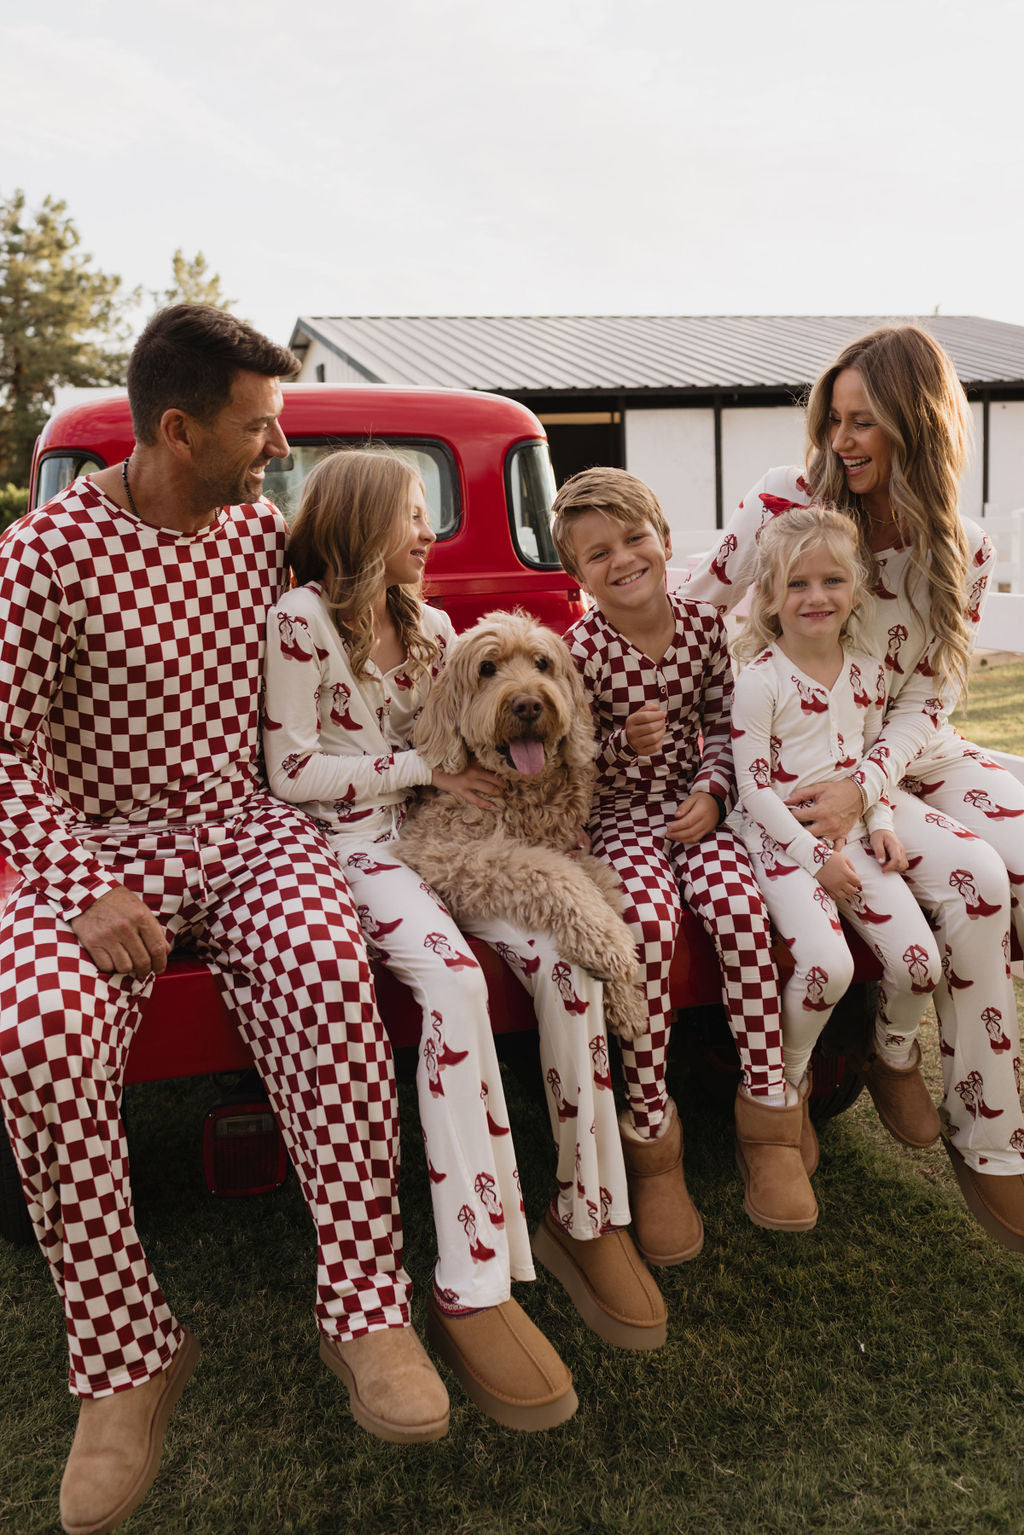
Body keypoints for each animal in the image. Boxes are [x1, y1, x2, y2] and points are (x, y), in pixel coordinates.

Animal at [396, 604, 644, 1037]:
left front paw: (625, 999)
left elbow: (606, 893)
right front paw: (611, 944)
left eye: (542, 663)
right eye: (487, 668)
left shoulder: (576, 850)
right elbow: (551, 873)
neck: (524, 793)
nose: (528, 704)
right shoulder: (444, 853)